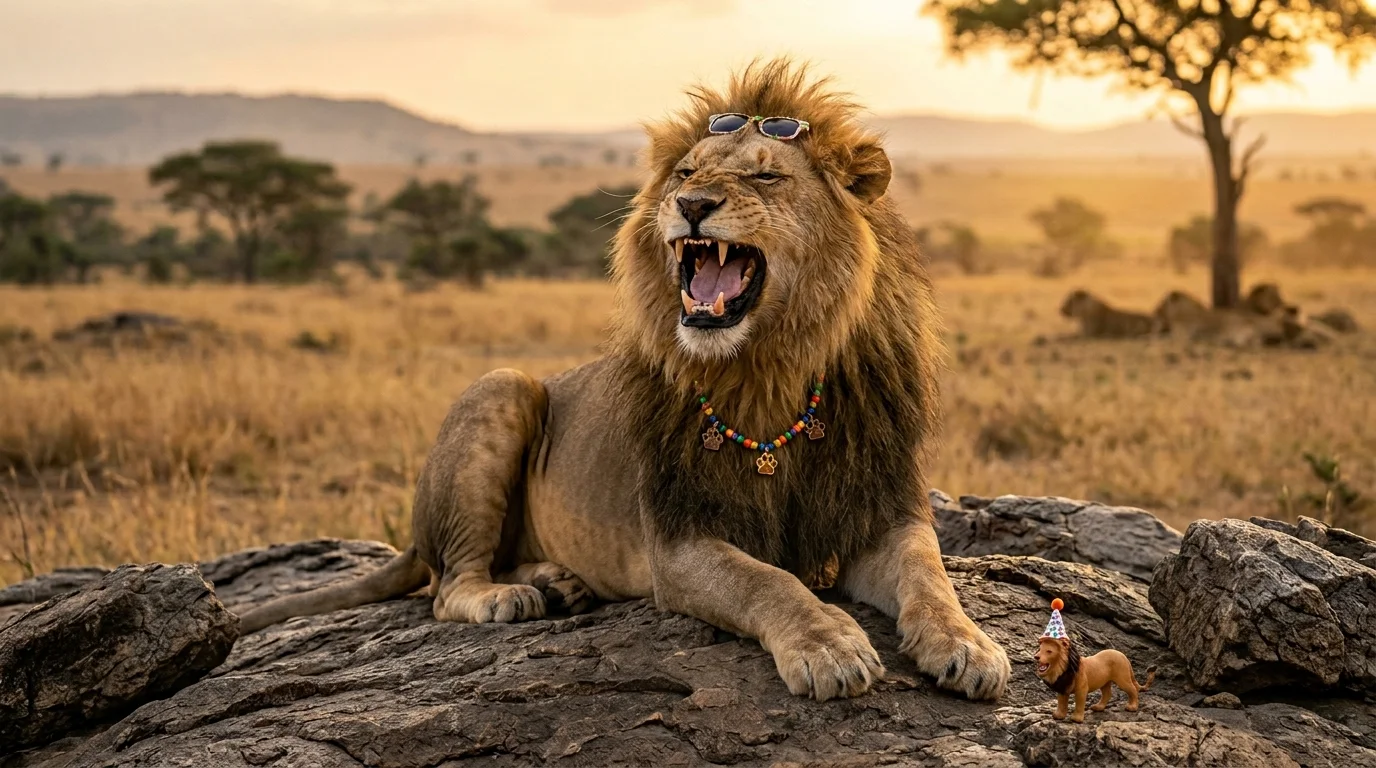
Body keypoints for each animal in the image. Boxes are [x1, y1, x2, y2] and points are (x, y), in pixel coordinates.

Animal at [238, 59, 1011, 702]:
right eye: (685, 174)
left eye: (765, 178)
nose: (693, 204)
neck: (772, 368)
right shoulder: (679, 541)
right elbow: (770, 581)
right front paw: (829, 647)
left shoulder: (877, 507)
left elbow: (930, 574)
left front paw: (970, 645)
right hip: (502, 387)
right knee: (446, 584)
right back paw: (511, 595)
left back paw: (557, 581)